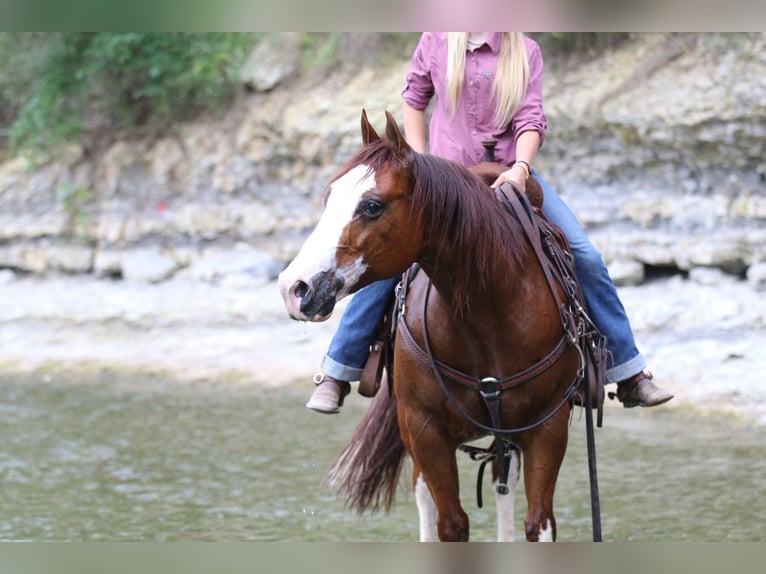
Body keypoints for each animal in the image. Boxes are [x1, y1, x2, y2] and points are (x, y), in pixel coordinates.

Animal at [282, 109, 592, 544]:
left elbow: (539, 522)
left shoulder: (548, 427)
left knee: (503, 486)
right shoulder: (424, 429)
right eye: (329, 198)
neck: (488, 314)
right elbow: (450, 523)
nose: (293, 288)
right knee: (425, 495)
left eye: (372, 205)